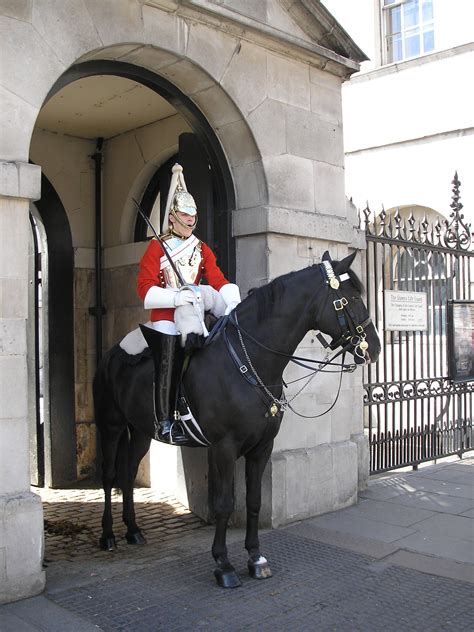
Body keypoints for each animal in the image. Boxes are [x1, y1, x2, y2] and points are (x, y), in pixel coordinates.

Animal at [94, 251, 380, 588]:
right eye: (351, 298)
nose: (374, 348)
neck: (251, 361)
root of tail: (113, 352)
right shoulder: (224, 448)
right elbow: (224, 502)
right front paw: (224, 564)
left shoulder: (261, 448)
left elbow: (254, 501)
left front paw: (256, 558)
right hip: (111, 425)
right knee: (110, 475)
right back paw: (108, 535)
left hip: (140, 430)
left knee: (127, 473)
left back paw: (133, 530)